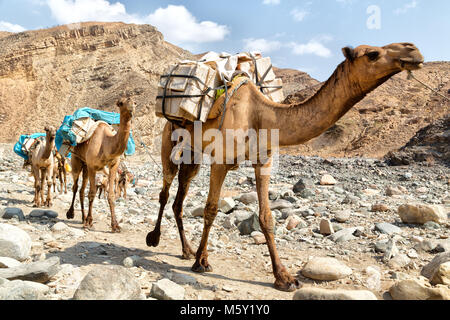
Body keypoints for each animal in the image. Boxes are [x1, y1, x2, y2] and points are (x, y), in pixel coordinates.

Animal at [66, 96, 134, 231]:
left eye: (134, 102)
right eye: (121, 103)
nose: (132, 108)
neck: (106, 143)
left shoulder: (113, 166)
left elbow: (111, 195)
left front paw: (115, 225)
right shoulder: (92, 167)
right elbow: (92, 193)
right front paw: (89, 222)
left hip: (86, 166)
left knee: (81, 190)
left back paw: (83, 218)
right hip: (77, 161)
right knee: (75, 186)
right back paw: (71, 214)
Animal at [147, 43, 422, 292]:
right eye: (373, 53)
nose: (413, 50)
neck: (259, 115)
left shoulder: (264, 160)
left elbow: (266, 217)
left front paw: (284, 278)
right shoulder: (221, 160)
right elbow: (211, 209)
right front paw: (202, 262)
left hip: (192, 154)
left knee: (179, 199)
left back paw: (186, 250)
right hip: (169, 138)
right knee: (165, 191)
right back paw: (155, 238)